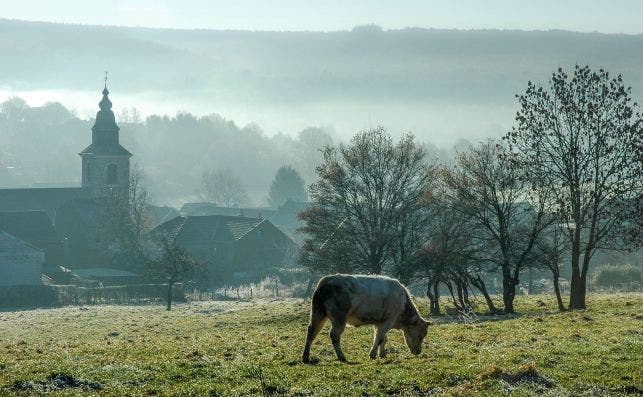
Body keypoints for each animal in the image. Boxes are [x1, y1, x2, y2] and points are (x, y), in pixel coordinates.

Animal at [304, 272, 432, 362]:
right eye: (422, 334)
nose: (418, 351)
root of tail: (326, 280)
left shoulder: (379, 323)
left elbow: (383, 338)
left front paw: (382, 354)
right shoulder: (389, 320)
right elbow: (379, 338)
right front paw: (372, 354)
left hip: (318, 313)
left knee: (312, 331)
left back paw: (306, 357)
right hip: (339, 317)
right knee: (334, 335)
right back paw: (342, 357)